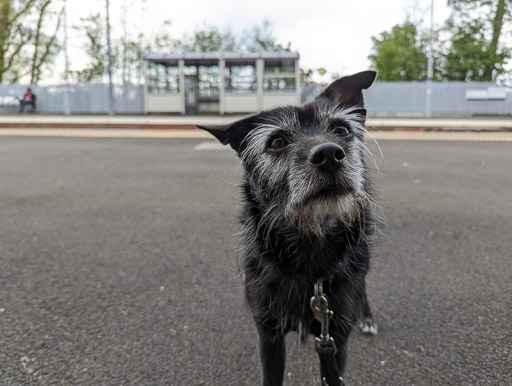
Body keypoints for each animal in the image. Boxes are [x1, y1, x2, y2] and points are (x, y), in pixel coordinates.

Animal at [198, 71, 378, 384]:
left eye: (342, 130)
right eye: (277, 141)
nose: (329, 154)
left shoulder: (337, 338)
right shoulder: (269, 335)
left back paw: (366, 318)